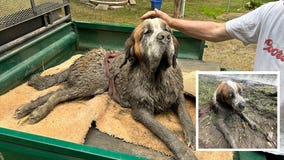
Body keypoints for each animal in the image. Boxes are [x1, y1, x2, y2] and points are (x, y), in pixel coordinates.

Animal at [13, 18, 197, 159]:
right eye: (146, 33)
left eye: (168, 30)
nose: (165, 37)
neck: (157, 76)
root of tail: (81, 58)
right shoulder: (141, 111)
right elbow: (165, 131)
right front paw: (184, 152)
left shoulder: (177, 97)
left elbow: (186, 115)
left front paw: (194, 136)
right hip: (91, 85)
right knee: (58, 94)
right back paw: (38, 112)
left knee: (55, 92)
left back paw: (27, 108)